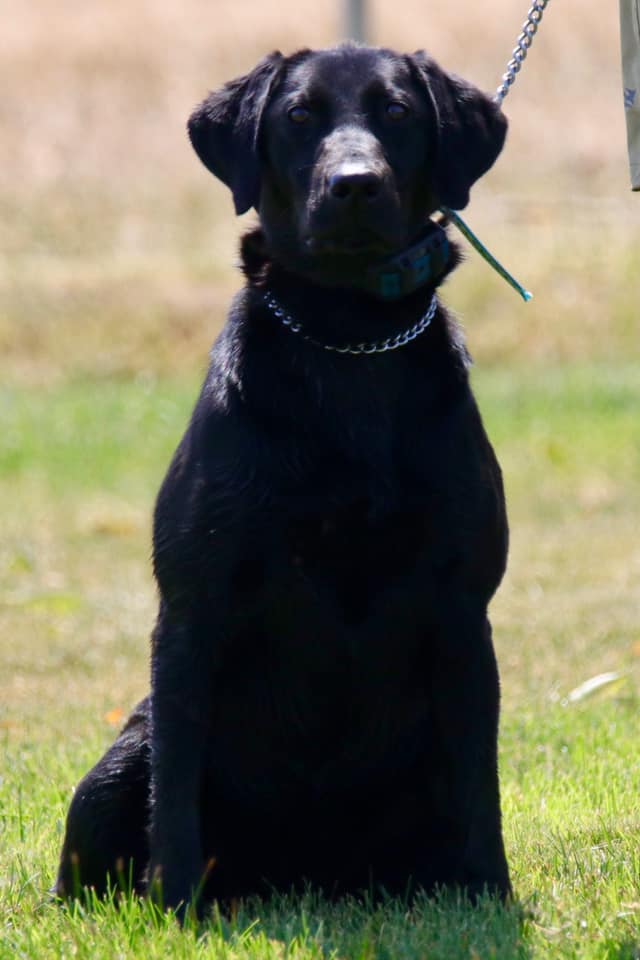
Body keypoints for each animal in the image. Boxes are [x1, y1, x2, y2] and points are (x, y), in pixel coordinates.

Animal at [57, 45, 512, 912]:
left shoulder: (464, 608)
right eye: (299, 115)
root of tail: (302, 881)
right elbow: (177, 788)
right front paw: (176, 907)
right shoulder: (192, 607)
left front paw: (490, 898)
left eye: (399, 111)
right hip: (119, 758)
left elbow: (478, 780)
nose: (355, 184)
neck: (349, 339)